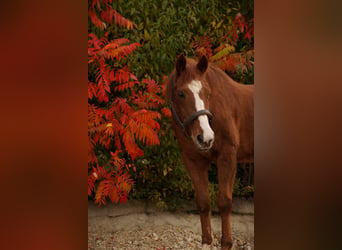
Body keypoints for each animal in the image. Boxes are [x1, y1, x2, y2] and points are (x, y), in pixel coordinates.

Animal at [166, 53, 254, 249]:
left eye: (207, 93)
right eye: (181, 94)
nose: (205, 137)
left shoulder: (227, 158)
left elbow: (225, 202)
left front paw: (226, 243)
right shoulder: (194, 161)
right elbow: (203, 202)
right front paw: (207, 242)